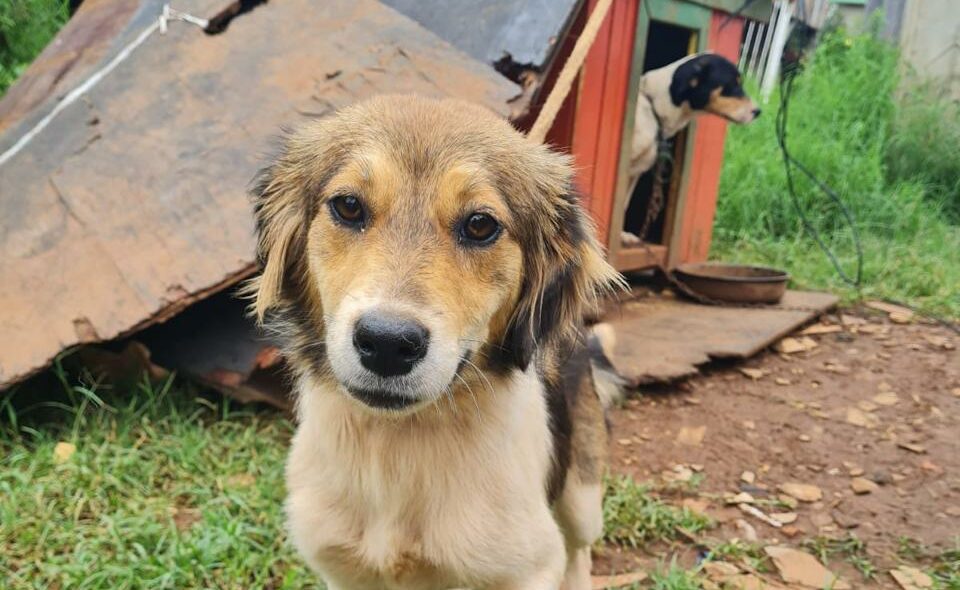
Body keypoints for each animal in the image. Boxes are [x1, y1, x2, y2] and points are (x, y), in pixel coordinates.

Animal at [248, 95, 624, 588]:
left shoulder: (530, 567)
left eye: (480, 224)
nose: (387, 343)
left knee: (580, 549)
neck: (398, 444)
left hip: (582, 495)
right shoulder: (342, 569)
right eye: (348, 206)